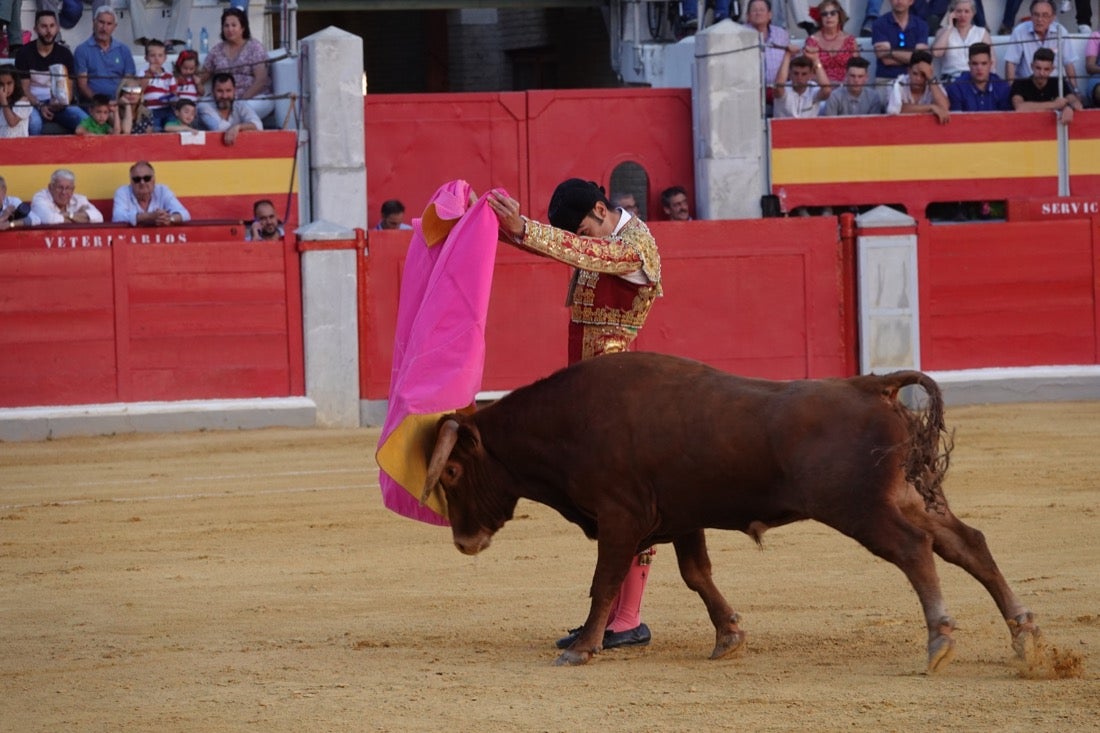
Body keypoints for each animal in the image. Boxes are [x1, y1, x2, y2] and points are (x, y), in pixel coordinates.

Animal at [418, 352, 1038, 664]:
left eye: (450, 472)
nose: (463, 542)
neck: (567, 422)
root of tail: (873, 385)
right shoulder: (681, 517)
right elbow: (697, 575)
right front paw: (728, 637)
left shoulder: (620, 518)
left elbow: (605, 581)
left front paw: (584, 648)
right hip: (911, 494)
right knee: (966, 543)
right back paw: (1023, 635)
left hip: (861, 508)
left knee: (915, 550)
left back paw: (941, 640)